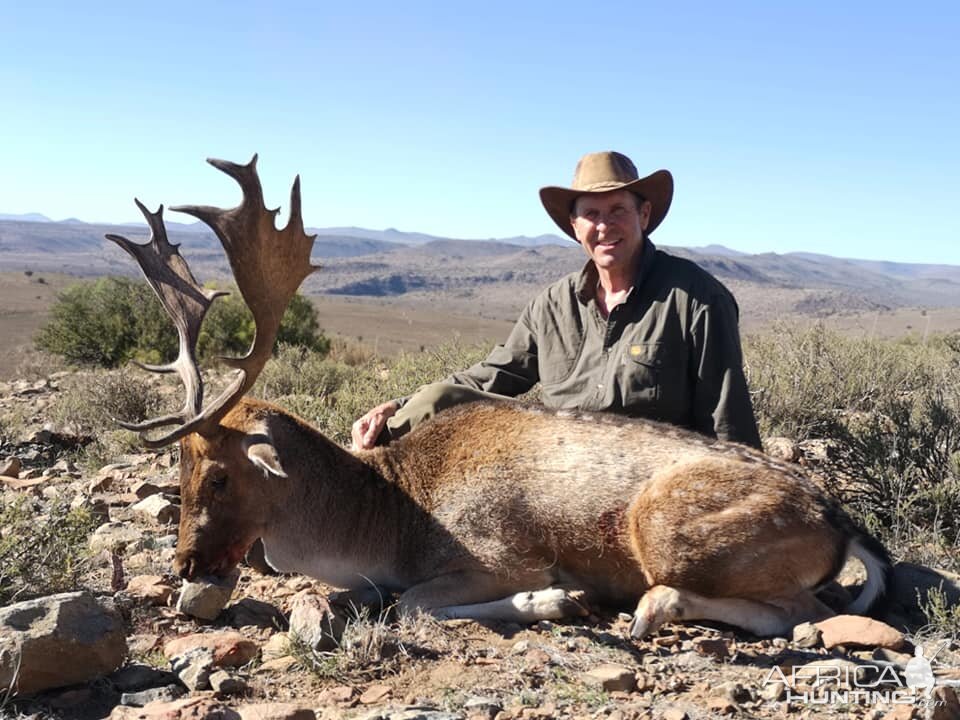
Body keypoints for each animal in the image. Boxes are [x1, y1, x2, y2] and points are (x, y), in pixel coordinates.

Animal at [110, 158, 892, 636]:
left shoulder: (498, 551)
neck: (389, 518)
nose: (184, 566)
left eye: (218, 473)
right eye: (177, 469)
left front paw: (559, 598)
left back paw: (648, 607)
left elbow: (415, 604)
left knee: (796, 610)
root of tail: (842, 523)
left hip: (664, 527)